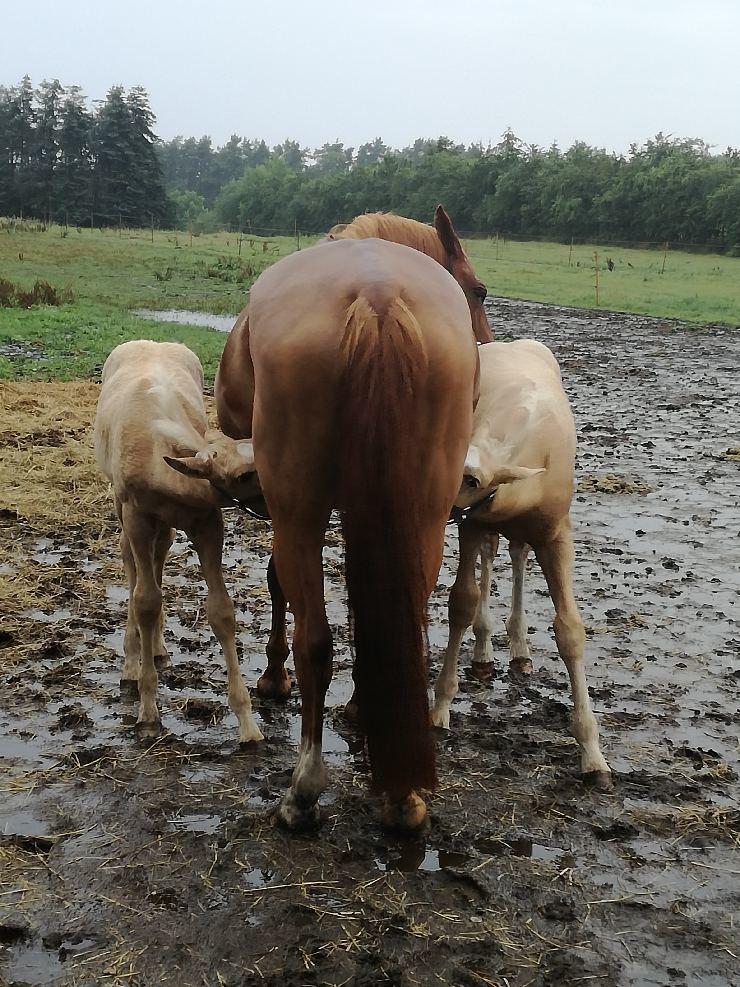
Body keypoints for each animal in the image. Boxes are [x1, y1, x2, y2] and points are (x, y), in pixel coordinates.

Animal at [94, 340, 264, 740]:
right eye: (244, 476)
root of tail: (150, 341)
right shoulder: (137, 515)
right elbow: (144, 600)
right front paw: (148, 710)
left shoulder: (206, 521)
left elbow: (221, 611)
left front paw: (247, 724)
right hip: (122, 506)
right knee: (132, 562)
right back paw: (132, 663)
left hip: (164, 525)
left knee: (160, 551)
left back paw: (156, 648)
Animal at [430, 340, 608, 788]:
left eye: (472, 480)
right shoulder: (473, 524)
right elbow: (461, 602)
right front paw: (440, 707)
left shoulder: (556, 535)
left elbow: (570, 631)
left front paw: (593, 755)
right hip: (485, 529)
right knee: (491, 558)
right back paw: (484, 648)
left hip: (523, 535)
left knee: (516, 557)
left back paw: (519, 648)